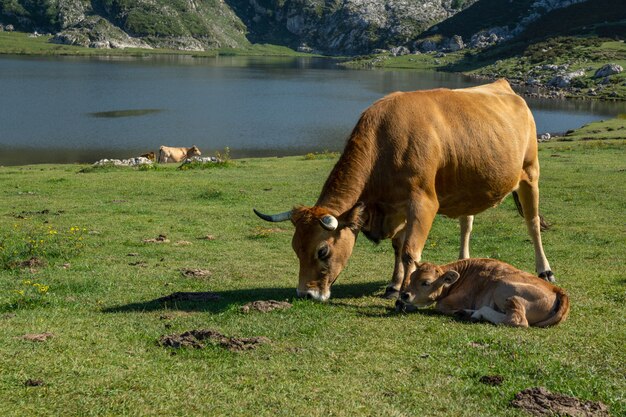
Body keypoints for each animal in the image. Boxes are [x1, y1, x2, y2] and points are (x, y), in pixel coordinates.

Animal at [252, 79, 552, 300]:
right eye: (295, 248)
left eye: (322, 251)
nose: (305, 294)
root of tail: (504, 86)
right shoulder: (396, 206)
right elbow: (398, 247)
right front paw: (394, 285)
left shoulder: (423, 201)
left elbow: (410, 251)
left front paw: (405, 293)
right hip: (470, 185)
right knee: (467, 224)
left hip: (530, 174)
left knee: (532, 223)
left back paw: (544, 270)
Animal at [398, 256, 568, 328]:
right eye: (411, 277)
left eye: (426, 283)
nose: (404, 294)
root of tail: (558, 290)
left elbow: (440, 305)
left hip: (503, 288)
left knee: (517, 320)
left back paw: (474, 313)